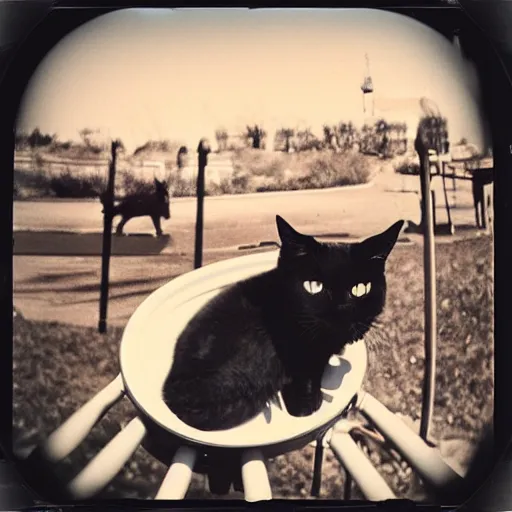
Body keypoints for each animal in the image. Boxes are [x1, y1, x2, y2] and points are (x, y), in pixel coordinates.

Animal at [164, 214, 404, 430]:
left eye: (360, 289)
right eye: (314, 286)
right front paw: (307, 405)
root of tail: (170, 393)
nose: (340, 310)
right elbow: (306, 372)